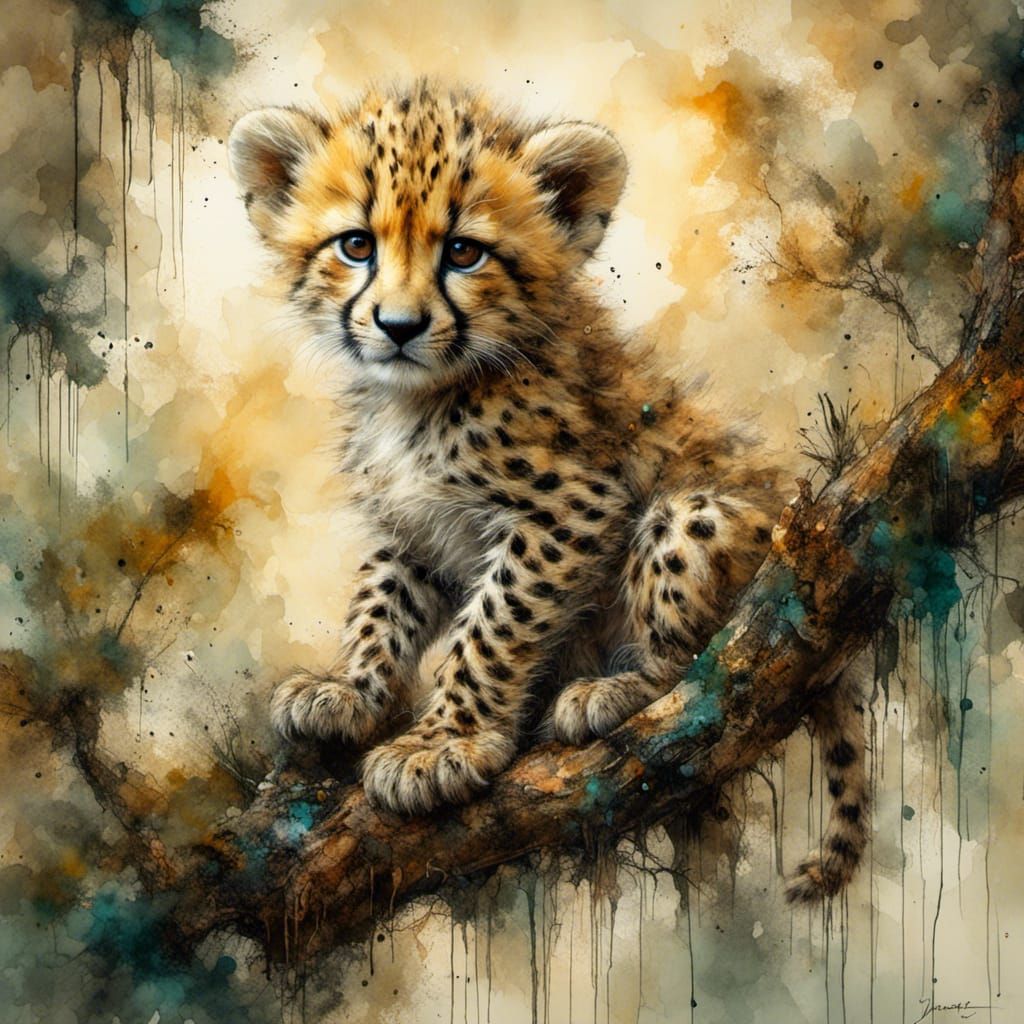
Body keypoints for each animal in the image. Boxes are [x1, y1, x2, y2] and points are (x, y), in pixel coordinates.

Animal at [228, 78, 868, 902]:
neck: (417, 399)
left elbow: (491, 628)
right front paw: (352, 693)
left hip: (694, 518)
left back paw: (610, 693)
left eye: (464, 252)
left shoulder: (567, 508)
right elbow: (378, 608)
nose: (399, 326)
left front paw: (444, 743)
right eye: (356, 246)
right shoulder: (414, 530)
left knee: (708, 673)